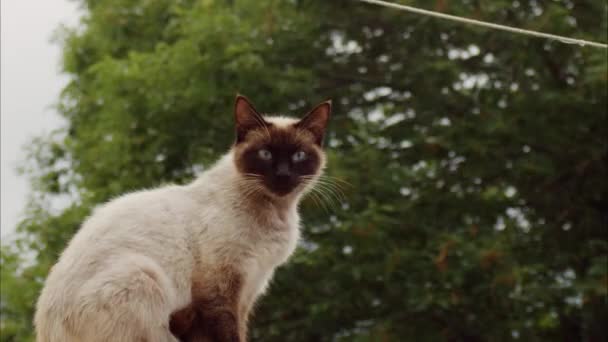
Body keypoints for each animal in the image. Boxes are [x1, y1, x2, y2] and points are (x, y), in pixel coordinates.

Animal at [35, 94, 330, 342]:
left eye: (299, 155)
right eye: (265, 154)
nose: (283, 175)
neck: (276, 210)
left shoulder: (248, 290)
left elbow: (241, 332)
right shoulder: (221, 289)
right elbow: (229, 334)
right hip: (143, 277)